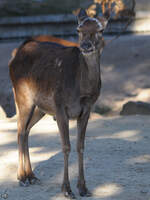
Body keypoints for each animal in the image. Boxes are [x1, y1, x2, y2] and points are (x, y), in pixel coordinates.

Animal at [9, 8, 109, 199]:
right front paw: (67, 190)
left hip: (40, 107)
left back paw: (31, 175)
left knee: (26, 130)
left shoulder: (86, 110)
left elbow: (80, 146)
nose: (85, 45)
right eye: (78, 29)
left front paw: (83, 188)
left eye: (100, 30)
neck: (83, 90)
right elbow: (66, 147)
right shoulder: (61, 107)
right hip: (22, 96)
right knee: (19, 130)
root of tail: (15, 54)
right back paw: (22, 177)